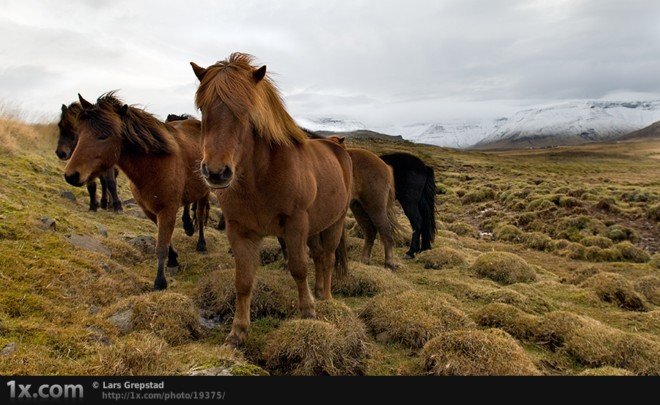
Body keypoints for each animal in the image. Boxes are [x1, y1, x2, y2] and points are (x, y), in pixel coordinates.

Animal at [191, 52, 354, 346]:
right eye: (203, 109)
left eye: (246, 111)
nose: (216, 172)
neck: (260, 177)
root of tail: (338, 147)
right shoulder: (239, 230)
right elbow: (243, 280)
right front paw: (238, 332)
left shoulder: (295, 224)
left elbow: (298, 268)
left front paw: (308, 313)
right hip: (315, 228)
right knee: (320, 257)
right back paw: (319, 292)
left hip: (334, 224)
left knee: (328, 258)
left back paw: (325, 297)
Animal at [324, 136, 402, 268]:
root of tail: (385, 166)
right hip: (358, 207)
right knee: (370, 231)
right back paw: (365, 260)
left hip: (375, 206)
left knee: (385, 229)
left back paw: (389, 263)